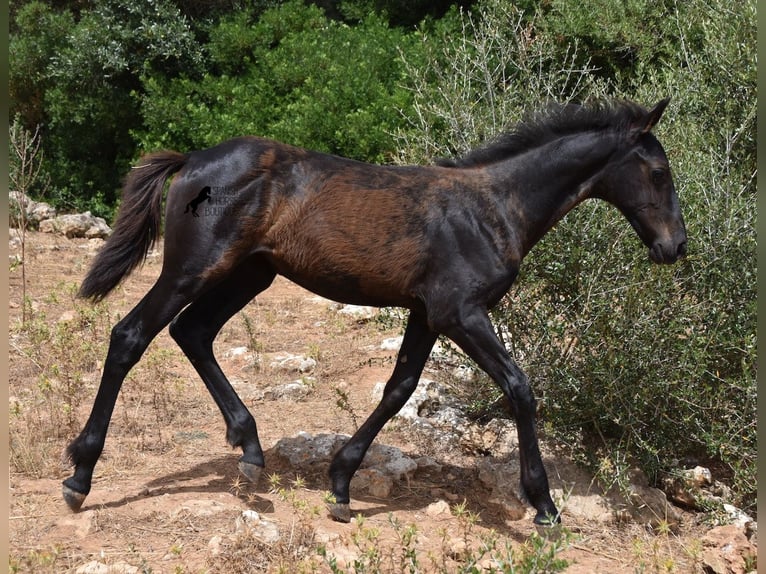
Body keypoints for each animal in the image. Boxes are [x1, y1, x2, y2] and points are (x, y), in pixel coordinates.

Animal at [61, 98, 688, 528]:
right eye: (659, 174)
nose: (675, 247)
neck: (493, 208)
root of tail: (193, 159)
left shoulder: (427, 313)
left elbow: (399, 388)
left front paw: (341, 482)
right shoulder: (461, 313)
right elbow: (519, 388)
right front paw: (544, 505)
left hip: (250, 273)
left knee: (193, 331)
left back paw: (251, 450)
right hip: (193, 269)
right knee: (132, 334)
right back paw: (80, 475)